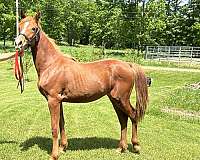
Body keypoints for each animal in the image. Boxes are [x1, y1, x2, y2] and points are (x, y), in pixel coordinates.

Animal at [15, 12, 148, 160]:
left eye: (33, 28)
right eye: (19, 26)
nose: (18, 43)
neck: (51, 65)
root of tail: (128, 65)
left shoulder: (53, 100)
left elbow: (54, 128)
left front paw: (54, 155)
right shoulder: (59, 100)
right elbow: (61, 123)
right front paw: (63, 147)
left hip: (122, 99)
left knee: (133, 115)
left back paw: (135, 146)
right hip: (115, 100)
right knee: (123, 119)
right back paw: (121, 148)